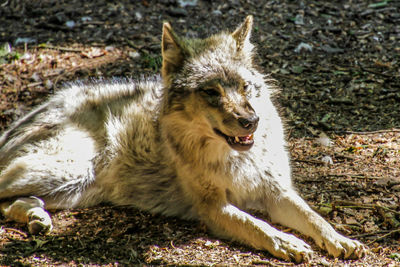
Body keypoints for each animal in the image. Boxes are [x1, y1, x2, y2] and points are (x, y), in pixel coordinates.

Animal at [0, 16, 366, 264]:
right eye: (211, 92)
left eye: (245, 88)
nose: (251, 121)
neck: (237, 158)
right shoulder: (212, 207)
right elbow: (257, 225)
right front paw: (286, 242)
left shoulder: (277, 193)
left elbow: (314, 217)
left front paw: (340, 239)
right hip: (69, 171)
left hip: (74, 189)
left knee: (13, 203)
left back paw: (37, 218)